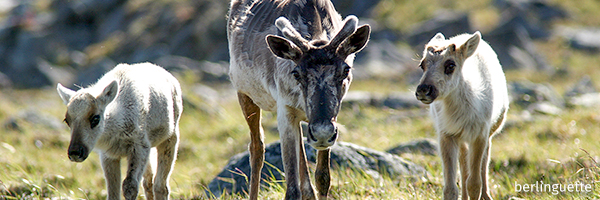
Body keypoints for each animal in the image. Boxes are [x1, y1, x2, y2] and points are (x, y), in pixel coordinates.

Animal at [56, 63, 183, 200]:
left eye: (95, 118)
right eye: (67, 120)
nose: (75, 152)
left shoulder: (139, 146)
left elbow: (129, 186)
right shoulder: (109, 155)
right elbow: (112, 192)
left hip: (170, 137)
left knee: (161, 185)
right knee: (148, 182)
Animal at [227, 0, 370, 199]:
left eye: (346, 69)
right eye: (296, 73)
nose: (322, 132)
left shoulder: (330, 120)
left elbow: (323, 178)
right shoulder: (285, 109)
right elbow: (292, 189)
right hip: (244, 92)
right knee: (257, 148)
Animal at [414, 32, 508, 199]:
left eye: (450, 65)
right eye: (422, 65)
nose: (423, 90)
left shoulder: (480, 135)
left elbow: (475, 184)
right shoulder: (447, 134)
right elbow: (450, 188)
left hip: (489, 132)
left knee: (484, 162)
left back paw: (486, 195)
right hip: (462, 138)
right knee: (464, 166)